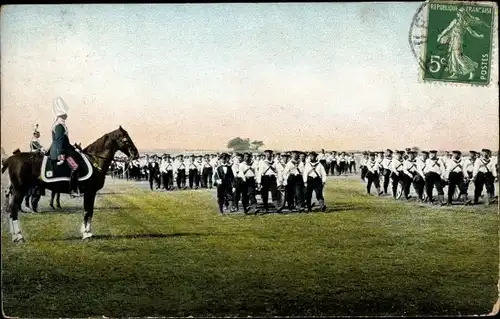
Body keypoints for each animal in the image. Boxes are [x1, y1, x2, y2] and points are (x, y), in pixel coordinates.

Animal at [2, 127, 139, 242]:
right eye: (126, 139)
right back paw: (19, 236)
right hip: (20, 190)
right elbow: (87, 212)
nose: (136, 154)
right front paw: (86, 234)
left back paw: (15, 236)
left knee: (11, 210)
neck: (94, 160)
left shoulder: (91, 193)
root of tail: (10, 159)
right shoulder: (89, 192)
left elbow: (89, 212)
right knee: (13, 210)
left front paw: (87, 232)